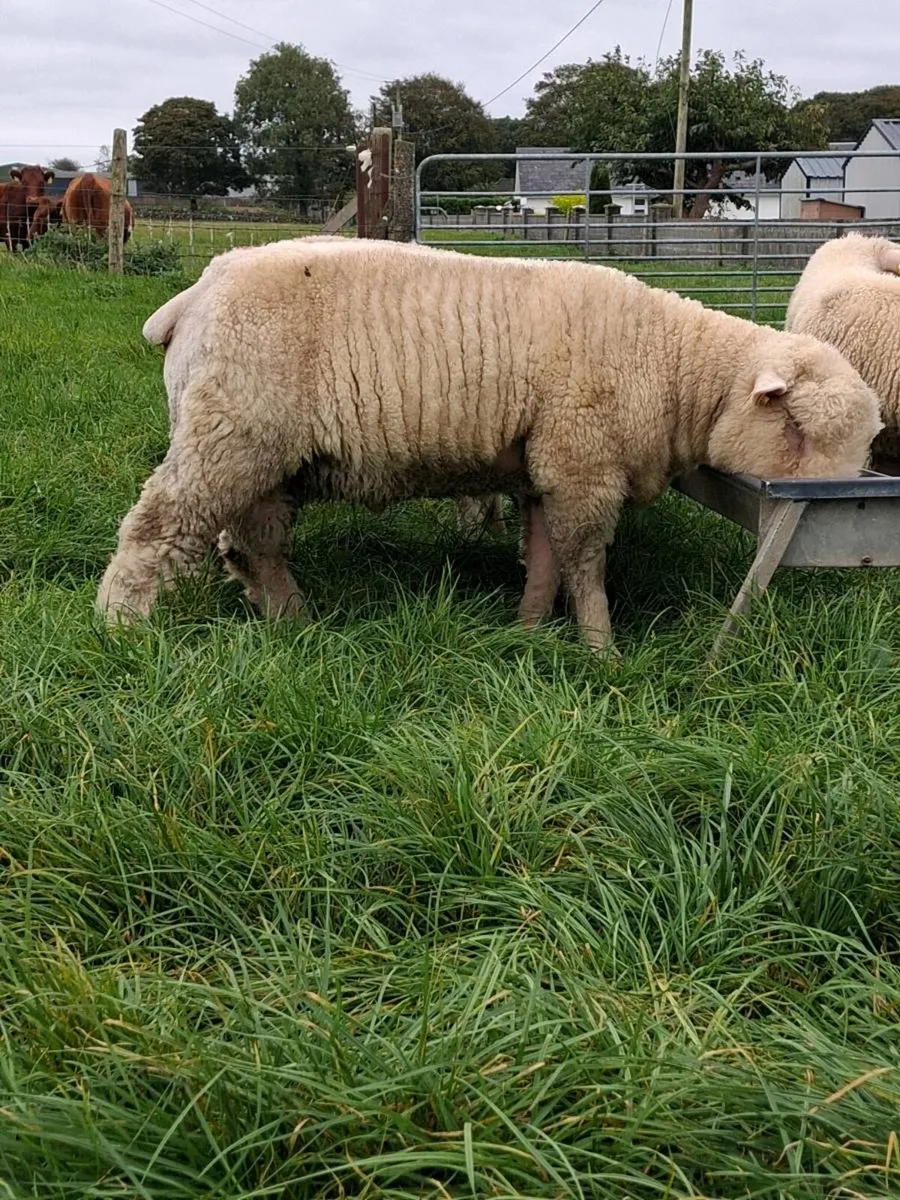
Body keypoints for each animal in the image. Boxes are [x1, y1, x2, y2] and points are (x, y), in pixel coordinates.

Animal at [96, 237, 882, 651]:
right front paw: (602, 651)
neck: (672, 365)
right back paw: (121, 627)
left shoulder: (544, 467)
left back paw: (294, 626)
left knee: (254, 543)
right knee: (156, 527)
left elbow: (543, 559)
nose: (841, 508)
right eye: (798, 426)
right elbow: (584, 566)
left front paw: (527, 634)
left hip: (267, 455)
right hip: (231, 432)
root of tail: (192, 296)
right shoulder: (582, 464)